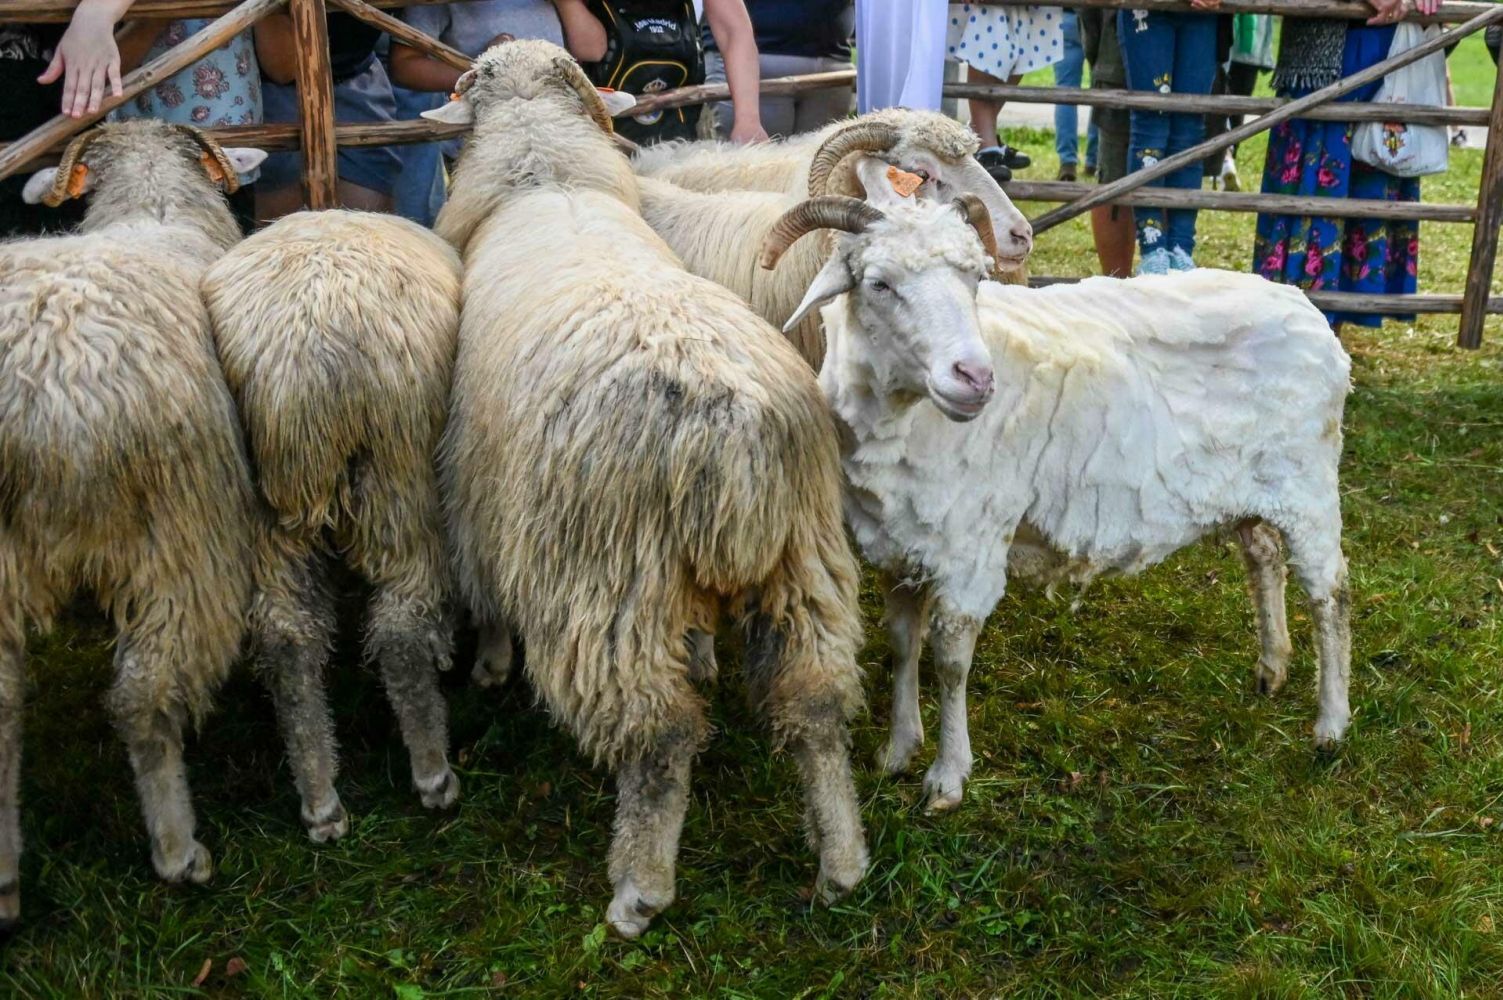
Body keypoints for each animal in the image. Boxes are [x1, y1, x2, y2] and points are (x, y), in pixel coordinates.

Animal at [0, 120, 267, 927]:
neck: (156, 209)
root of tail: (45, 387)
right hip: (182, 539)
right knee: (143, 699)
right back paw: (178, 849)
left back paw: (5, 882)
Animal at [201, 211, 463, 840]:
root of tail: (308, 349)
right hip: (400, 476)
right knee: (401, 632)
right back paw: (432, 773)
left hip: (266, 512)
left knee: (287, 642)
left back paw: (320, 799)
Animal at [425, 40, 868, 938]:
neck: (541, 178)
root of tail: (729, 425)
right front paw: (701, 656)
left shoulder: (475, 492)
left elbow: (486, 594)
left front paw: (489, 664)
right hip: (802, 559)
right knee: (814, 704)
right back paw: (841, 862)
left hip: (607, 586)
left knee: (659, 739)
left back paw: (638, 888)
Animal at [759, 166, 1353, 813]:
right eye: (879, 283)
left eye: (974, 279)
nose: (976, 378)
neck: (903, 420)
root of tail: (1299, 303)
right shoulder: (900, 544)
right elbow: (902, 644)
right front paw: (898, 748)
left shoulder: (970, 547)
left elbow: (951, 661)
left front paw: (947, 777)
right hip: (1250, 487)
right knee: (1263, 558)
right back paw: (1272, 668)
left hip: (1308, 484)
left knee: (1331, 593)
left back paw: (1331, 724)